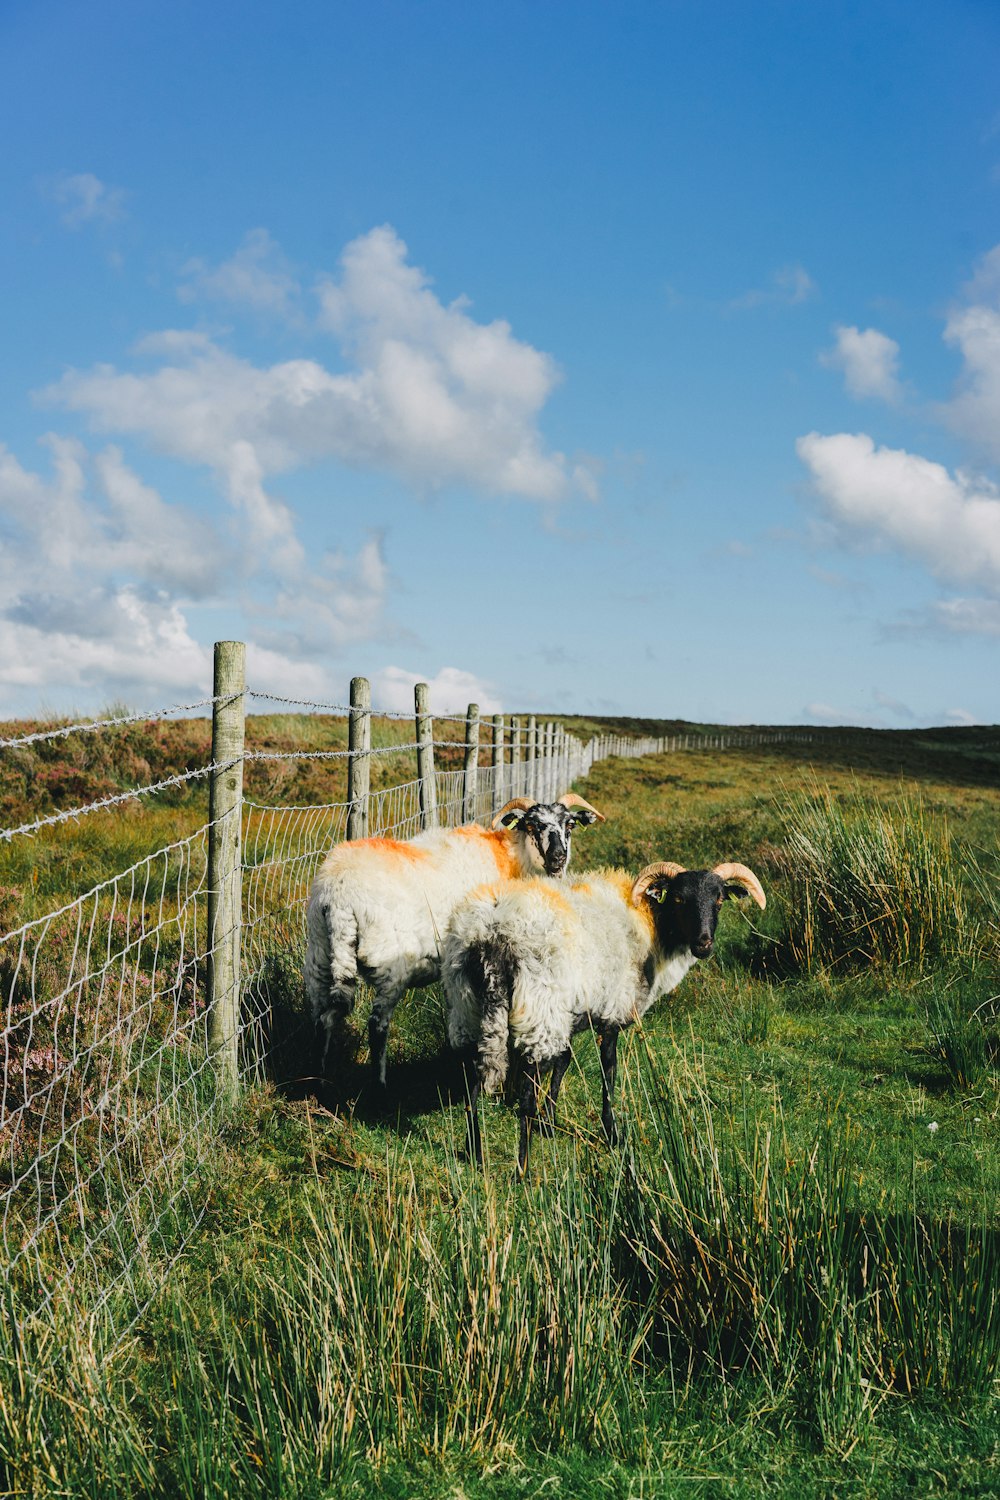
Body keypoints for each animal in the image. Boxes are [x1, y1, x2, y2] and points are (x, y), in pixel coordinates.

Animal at [302, 798, 602, 1092]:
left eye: (569, 825)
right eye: (533, 825)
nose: (557, 858)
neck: (511, 858)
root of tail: (338, 895)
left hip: (319, 955)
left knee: (322, 1018)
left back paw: (318, 1080)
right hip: (390, 967)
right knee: (377, 1027)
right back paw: (380, 1087)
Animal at [443, 858, 767, 1170]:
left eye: (719, 899)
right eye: (678, 899)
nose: (703, 943)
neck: (652, 926)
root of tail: (492, 933)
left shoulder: (572, 1014)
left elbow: (564, 1062)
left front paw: (549, 1124)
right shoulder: (612, 1014)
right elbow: (608, 1070)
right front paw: (612, 1135)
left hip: (467, 1005)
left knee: (471, 1078)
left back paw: (474, 1152)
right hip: (538, 1007)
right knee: (525, 1092)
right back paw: (522, 1169)